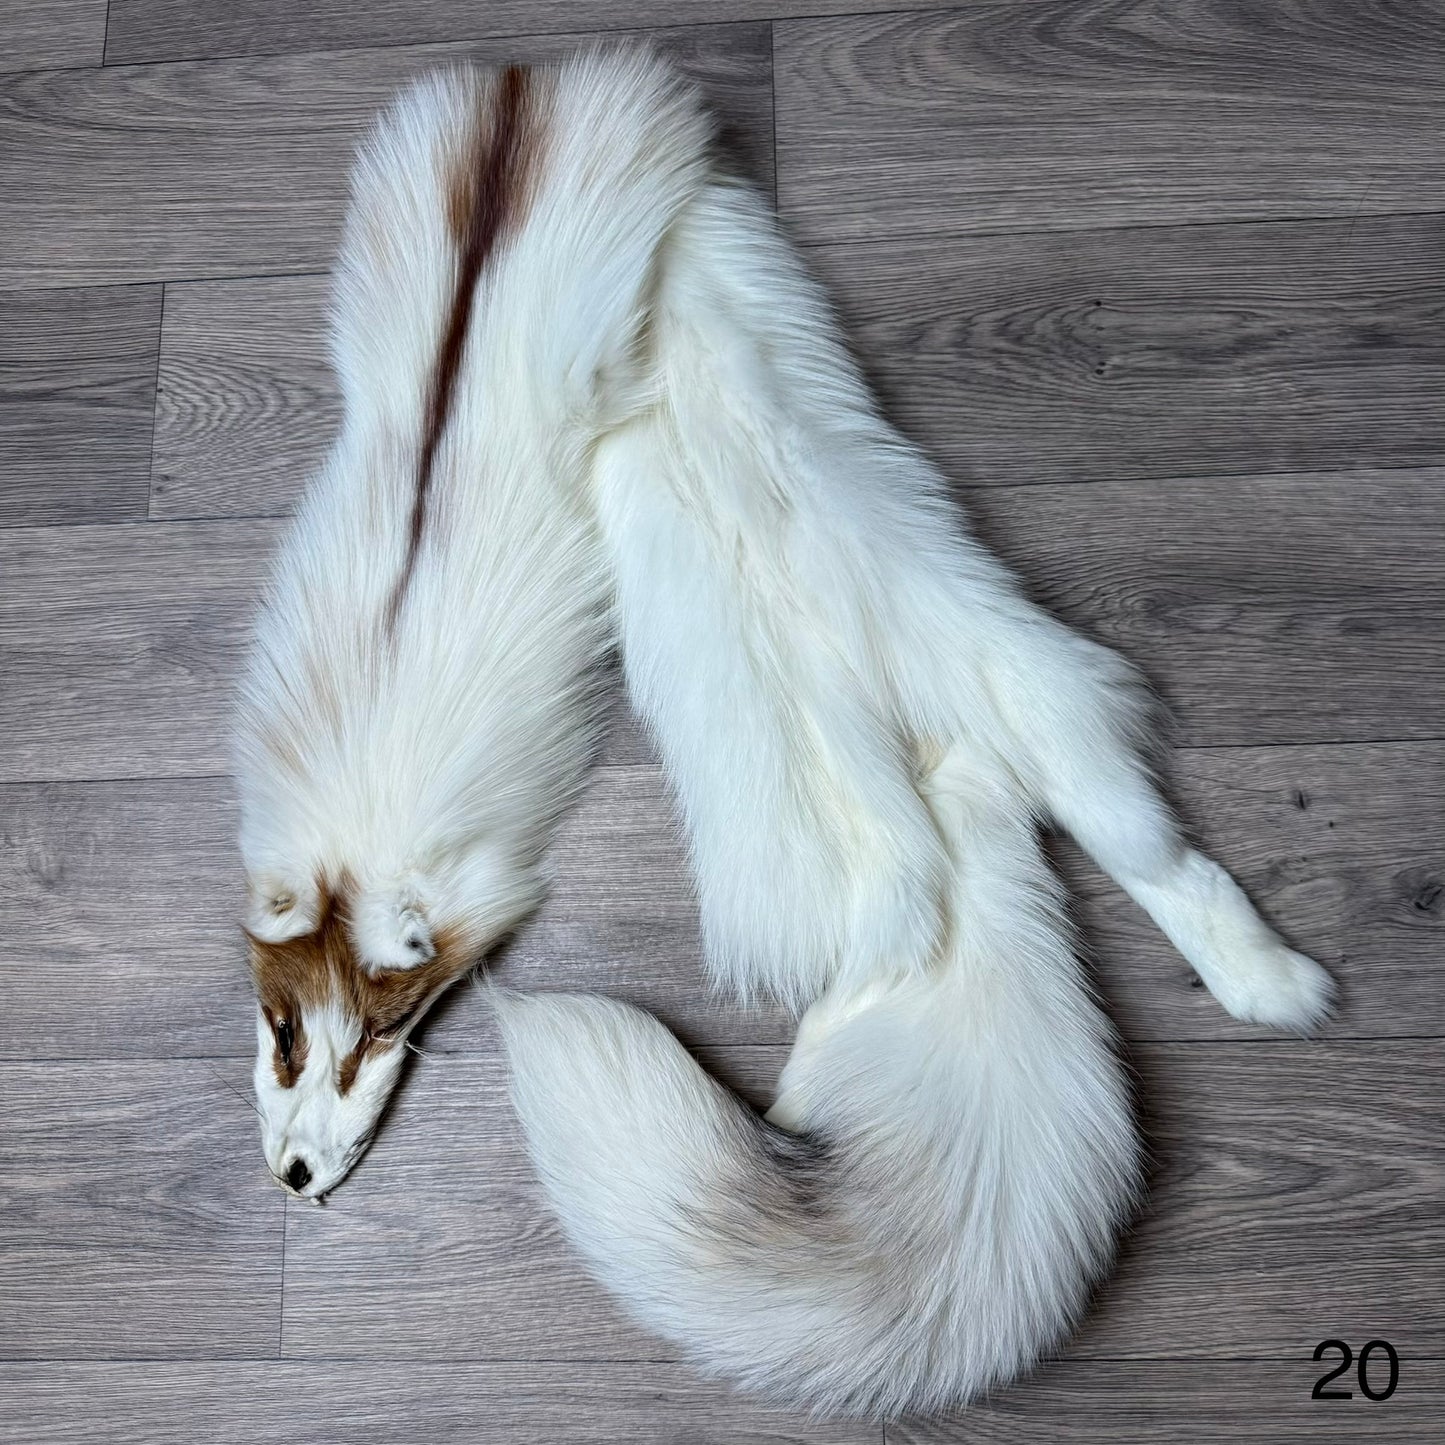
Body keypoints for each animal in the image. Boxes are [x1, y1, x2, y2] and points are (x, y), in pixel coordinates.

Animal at [236, 50, 1332, 1416]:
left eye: (383, 1034)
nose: (292, 1180)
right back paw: (1264, 978)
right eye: (283, 1030)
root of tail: (522, 80)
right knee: (1126, 833)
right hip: (942, 715)